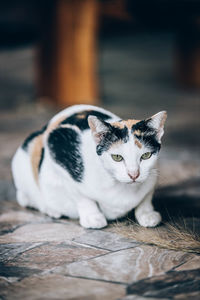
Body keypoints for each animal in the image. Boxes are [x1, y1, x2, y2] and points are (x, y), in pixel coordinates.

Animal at [11, 104, 167, 229]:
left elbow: (147, 195)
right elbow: (81, 196)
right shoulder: (56, 144)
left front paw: (147, 214)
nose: (134, 174)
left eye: (146, 155)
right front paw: (93, 217)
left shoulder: (153, 175)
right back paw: (50, 209)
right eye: (117, 157)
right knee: (24, 197)